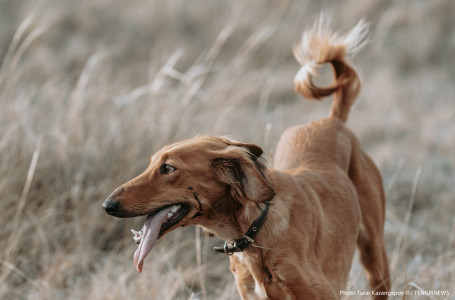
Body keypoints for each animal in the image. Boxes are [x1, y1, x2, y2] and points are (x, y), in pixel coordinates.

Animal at [103, 21, 392, 300]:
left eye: (168, 168)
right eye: (151, 164)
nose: (108, 205)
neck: (253, 232)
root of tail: (331, 120)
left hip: (375, 260)